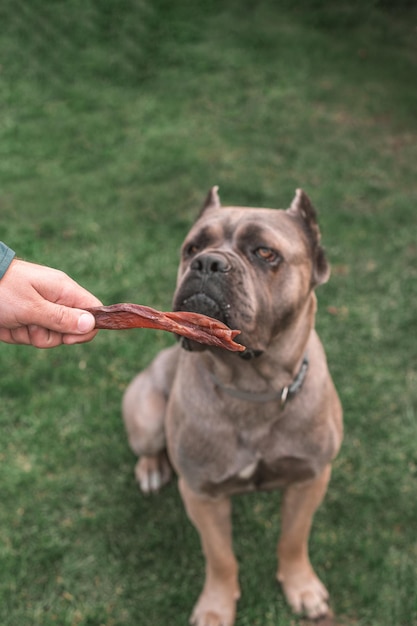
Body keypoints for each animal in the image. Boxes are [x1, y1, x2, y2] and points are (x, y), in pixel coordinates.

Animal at [122, 188, 342, 620]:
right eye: (191, 248)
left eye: (265, 252)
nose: (207, 262)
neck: (253, 386)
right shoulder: (202, 494)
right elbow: (221, 557)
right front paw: (215, 608)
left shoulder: (310, 479)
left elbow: (294, 538)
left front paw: (302, 587)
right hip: (146, 415)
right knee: (149, 446)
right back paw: (152, 469)